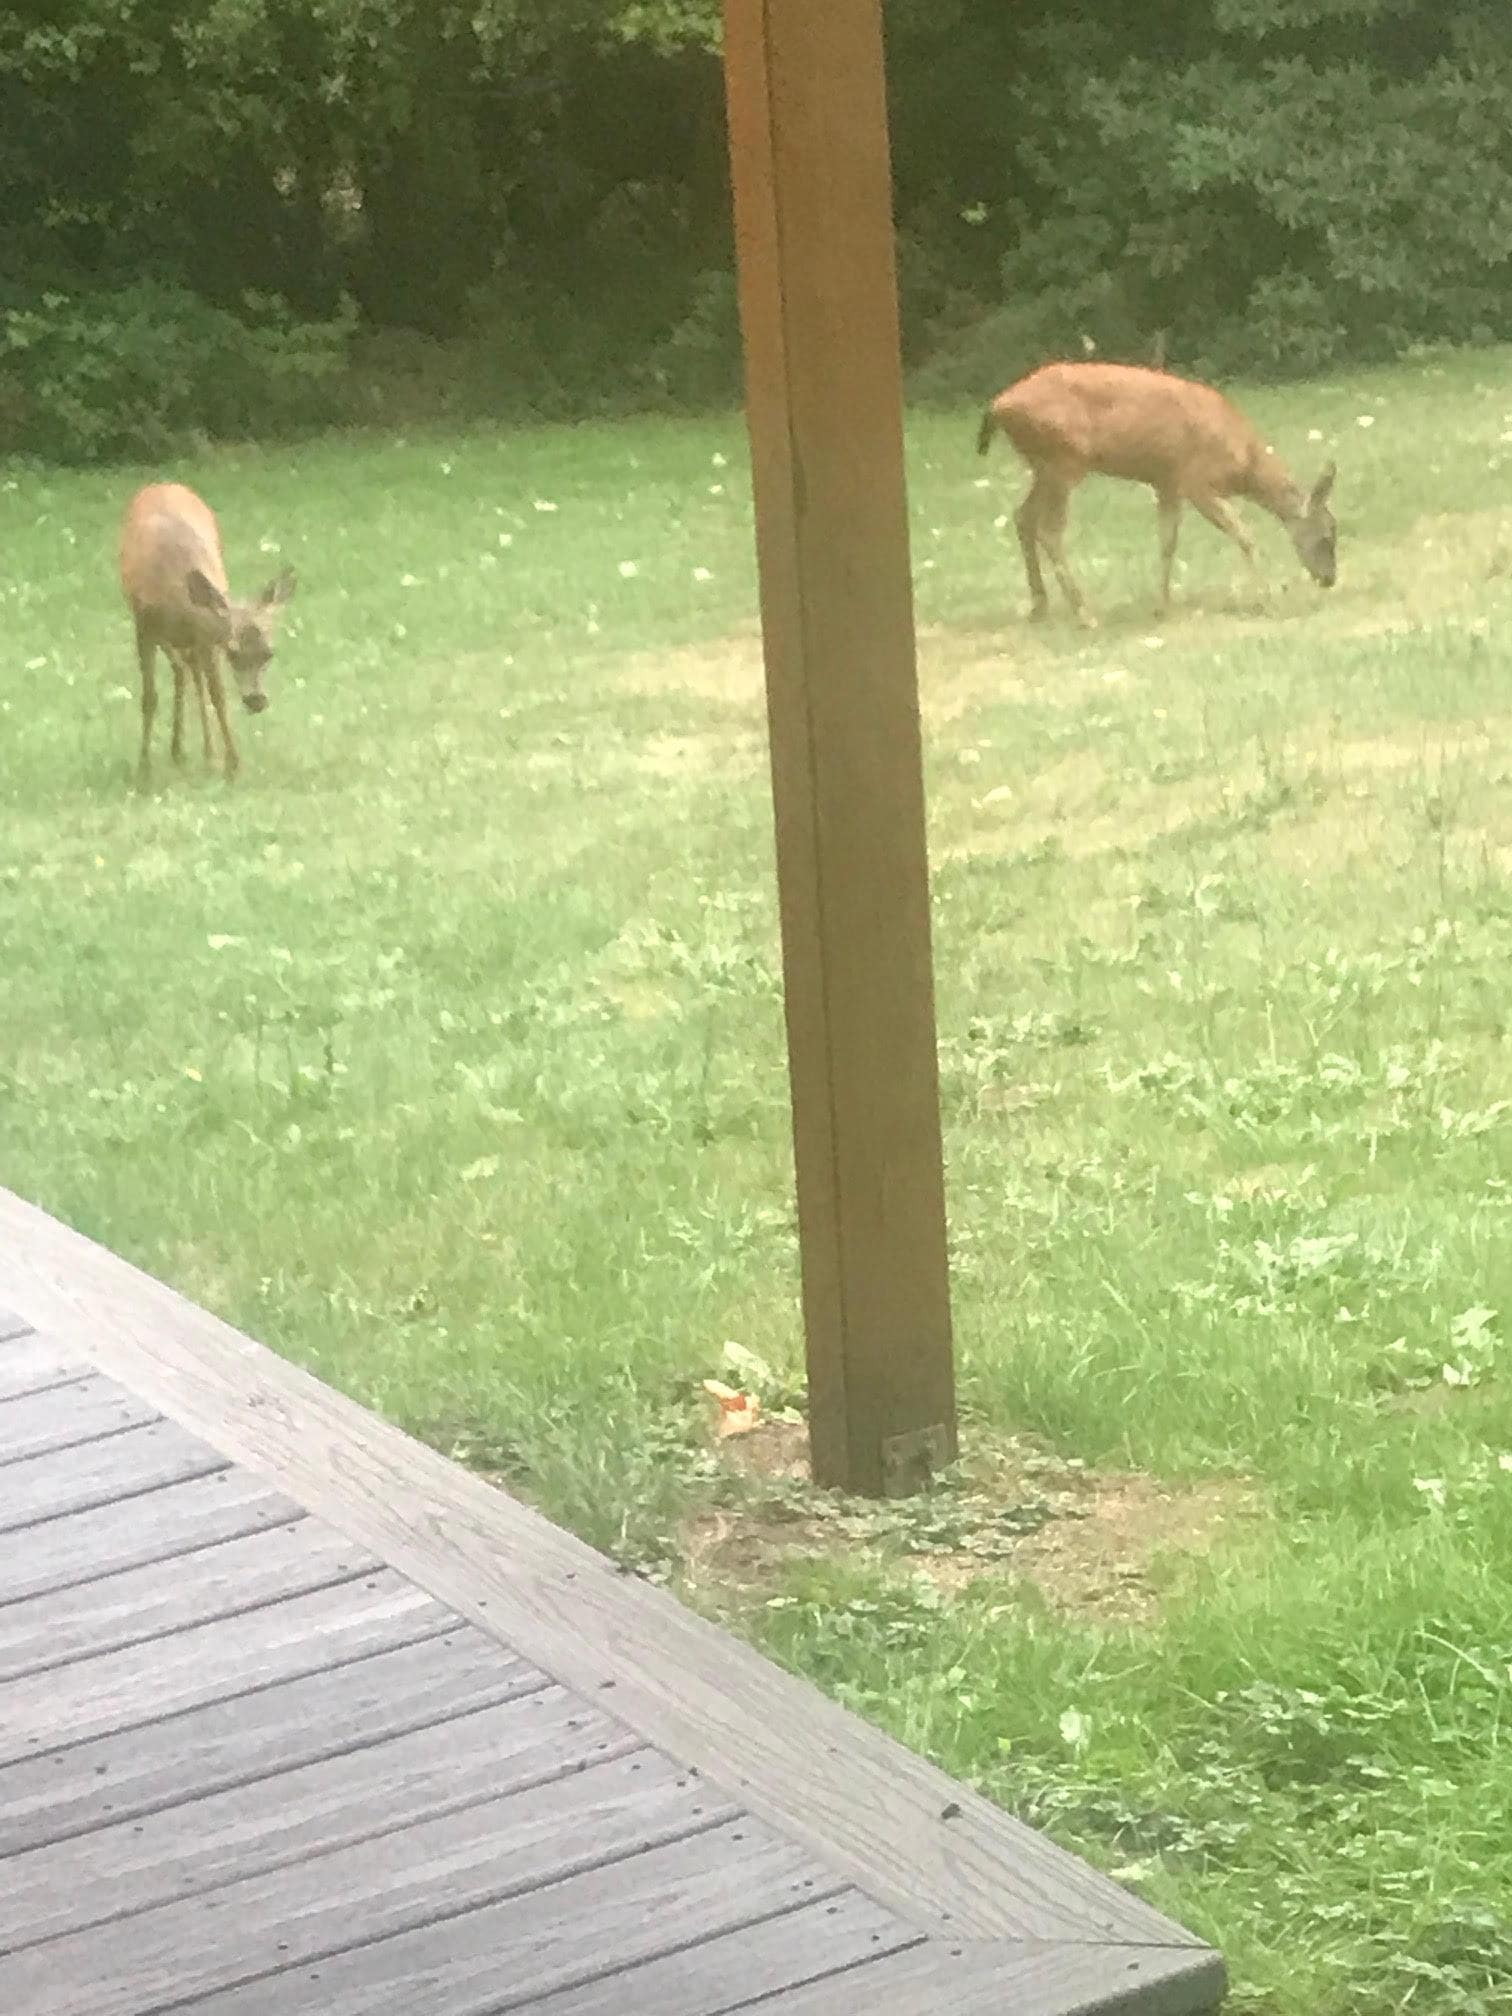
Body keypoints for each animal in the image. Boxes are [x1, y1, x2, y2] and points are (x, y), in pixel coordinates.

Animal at [119, 482, 296, 786]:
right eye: (233, 653)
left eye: (269, 653)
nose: (256, 700)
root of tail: (162, 484)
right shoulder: (144, 626)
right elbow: (149, 698)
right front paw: (143, 769)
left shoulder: (208, 639)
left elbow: (218, 696)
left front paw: (231, 764)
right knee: (182, 670)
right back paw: (180, 750)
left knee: (190, 675)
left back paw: (196, 752)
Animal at [975, 361, 1337, 627]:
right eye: (1327, 536)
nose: (1330, 578)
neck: (1244, 463)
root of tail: (997, 405)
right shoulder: (1196, 481)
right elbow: (1244, 534)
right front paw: (1269, 599)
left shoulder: (1167, 482)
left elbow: (1167, 542)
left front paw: (1162, 607)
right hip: (1063, 460)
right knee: (1048, 530)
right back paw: (1085, 614)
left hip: (1043, 465)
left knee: (1022, 516)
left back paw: (1040, 607)